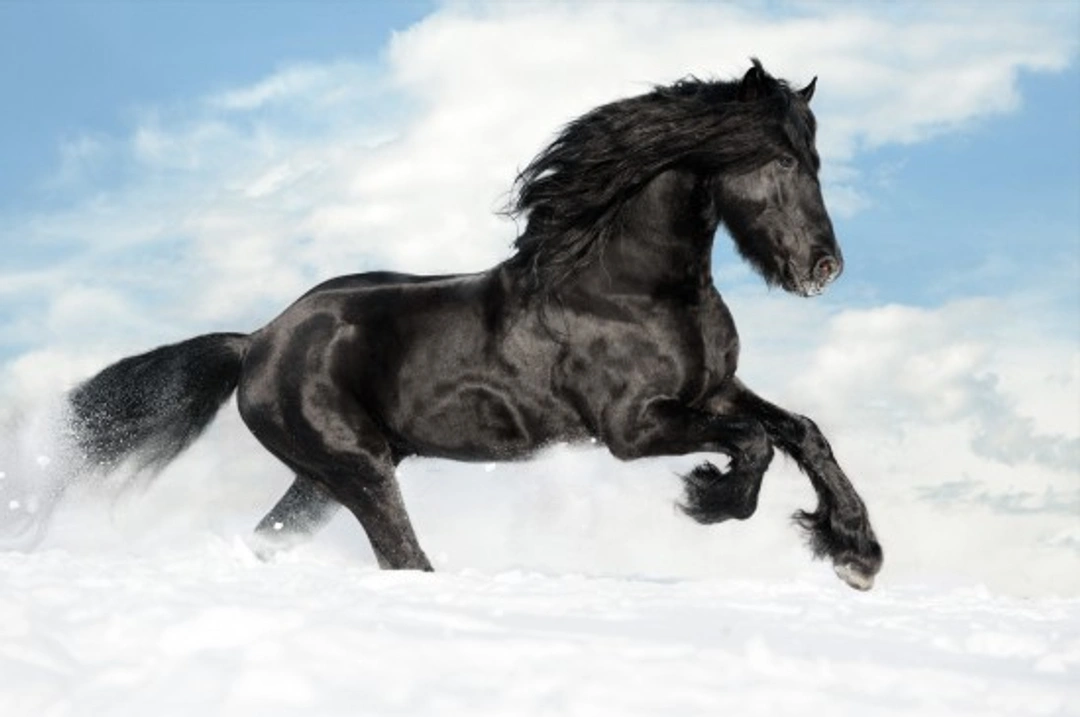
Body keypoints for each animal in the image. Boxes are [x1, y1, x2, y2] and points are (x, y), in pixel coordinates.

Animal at [61, 59, 883, 590]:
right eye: (781, 158)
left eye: (814, 158)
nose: (824, 267)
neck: (631, 287)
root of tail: (256, 341)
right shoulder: (633, 428)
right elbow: (753, 444)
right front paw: (712, 499)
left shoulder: (713, 392)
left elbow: (801, 431)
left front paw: (857, 554)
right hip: (356, 467)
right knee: (401, 557)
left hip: (323, 479)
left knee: (278, 540)